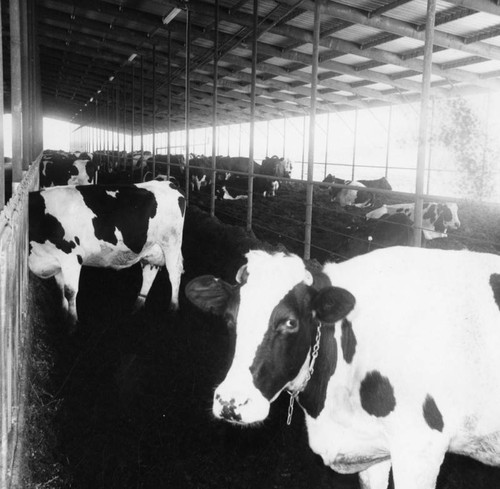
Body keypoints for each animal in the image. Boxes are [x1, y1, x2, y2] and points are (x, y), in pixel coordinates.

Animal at [27, 179, 184, 328]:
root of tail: (169, 184)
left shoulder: (71, 257)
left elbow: (70, 292)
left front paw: (72, 324)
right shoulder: (56, 261)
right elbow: (60, 289)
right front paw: (63, 315)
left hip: (171, 243)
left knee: (174, 274)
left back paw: (173, 310)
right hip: (151, 249)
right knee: (149, 274)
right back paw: (136, 307)